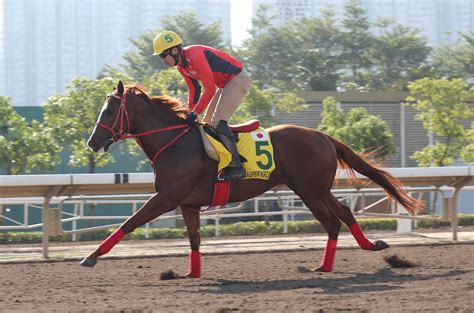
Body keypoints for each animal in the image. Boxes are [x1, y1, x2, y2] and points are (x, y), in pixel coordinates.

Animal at [80, 81, 422, 278]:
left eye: (108, 110)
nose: (92, 143)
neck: (174, 141)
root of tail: (324, 136)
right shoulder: (187, 204)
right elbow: (194, 238)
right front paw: (192, 274)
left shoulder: (166, 197)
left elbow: (129, 223)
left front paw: (90, 257)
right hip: (316, 189)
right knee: (344, 214)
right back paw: (366, 248)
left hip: (310, 191)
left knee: (332, 222)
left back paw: (327, 265)